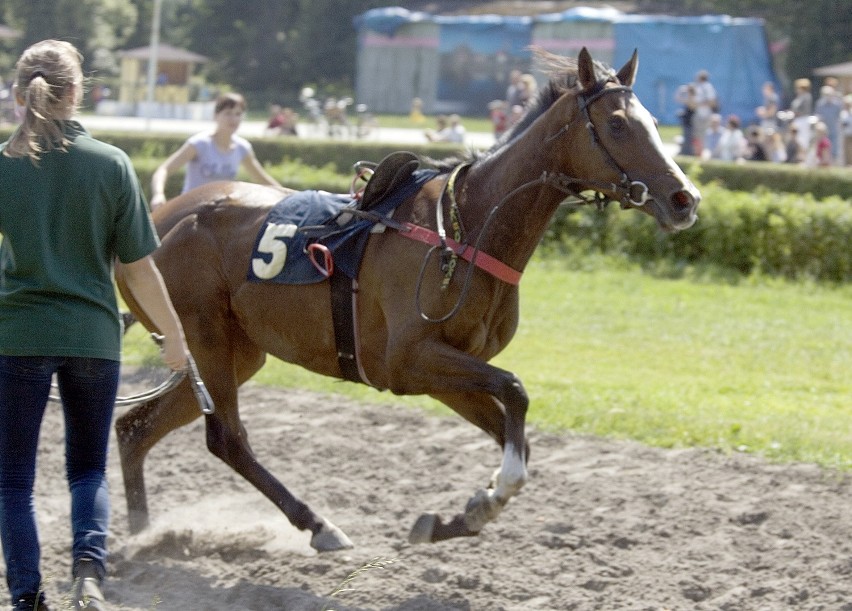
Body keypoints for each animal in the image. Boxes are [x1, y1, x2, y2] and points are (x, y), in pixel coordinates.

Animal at [113, 47, 700, 552]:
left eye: (654, 122)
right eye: (618, 124)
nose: (685, 198)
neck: (465, 231)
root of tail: (156, 218)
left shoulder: (448, 371)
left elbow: (514, 428)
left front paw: (460, 515)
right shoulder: (407, 360)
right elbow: (515, 391)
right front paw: (490, 495)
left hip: (234, 350)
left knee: (134, 428)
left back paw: (142, 536)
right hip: (207, 335)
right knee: (226, 438)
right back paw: (318, 525)